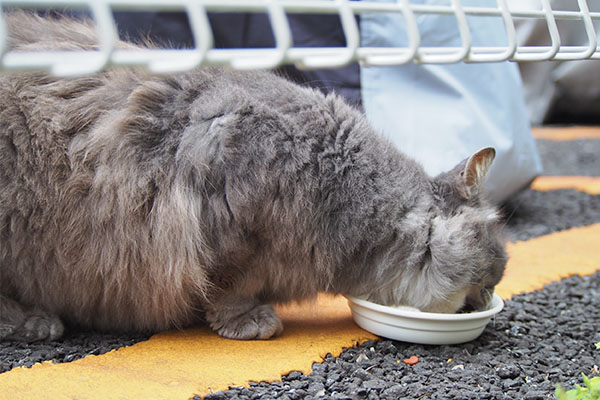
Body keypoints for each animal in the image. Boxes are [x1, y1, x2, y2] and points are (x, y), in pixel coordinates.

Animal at [0, 14, 506, 342]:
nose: (488, 299)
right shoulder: (226, 232)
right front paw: (251, 323)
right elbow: (228, 291)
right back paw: (35, 324)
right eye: (486, 280)